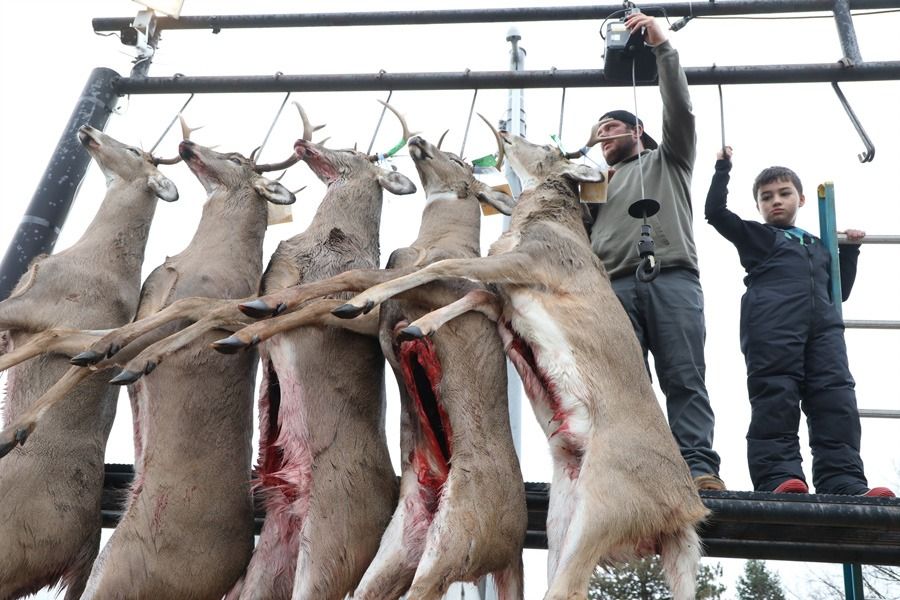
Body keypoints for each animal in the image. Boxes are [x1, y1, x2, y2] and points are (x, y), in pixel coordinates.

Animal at [316, 128, 710, 600]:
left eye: (548, 148)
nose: (507, 133)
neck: (543, 224)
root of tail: (685, 516)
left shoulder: (529, 261)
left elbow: (449, 265)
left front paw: (359, 302)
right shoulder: (507, 293)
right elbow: (475, 292)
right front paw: (417, 326)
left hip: (606, 507)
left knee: (566, 587)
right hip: (563, 521)